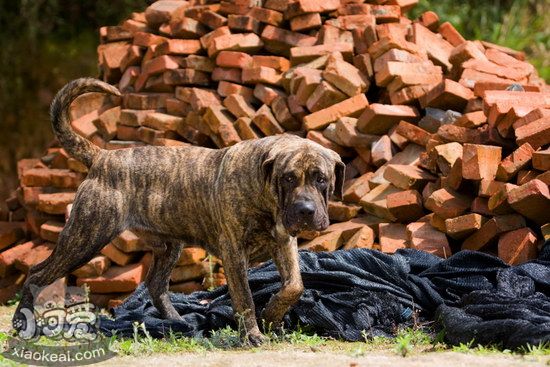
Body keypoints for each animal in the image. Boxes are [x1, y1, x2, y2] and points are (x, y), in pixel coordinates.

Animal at [12, 79, 344, 346]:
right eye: (288, 178)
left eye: (321, 178)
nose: (305, 210)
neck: (266, 197)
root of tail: (103, 157)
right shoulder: (233, 251)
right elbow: (245, 297)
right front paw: (252, 334)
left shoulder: (284, 243)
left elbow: (295, 286)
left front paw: (272, 316)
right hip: (86, 236)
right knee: (37, 272)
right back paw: (22, 322)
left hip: (168, 245)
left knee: (156, 285)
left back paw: (179, 322)